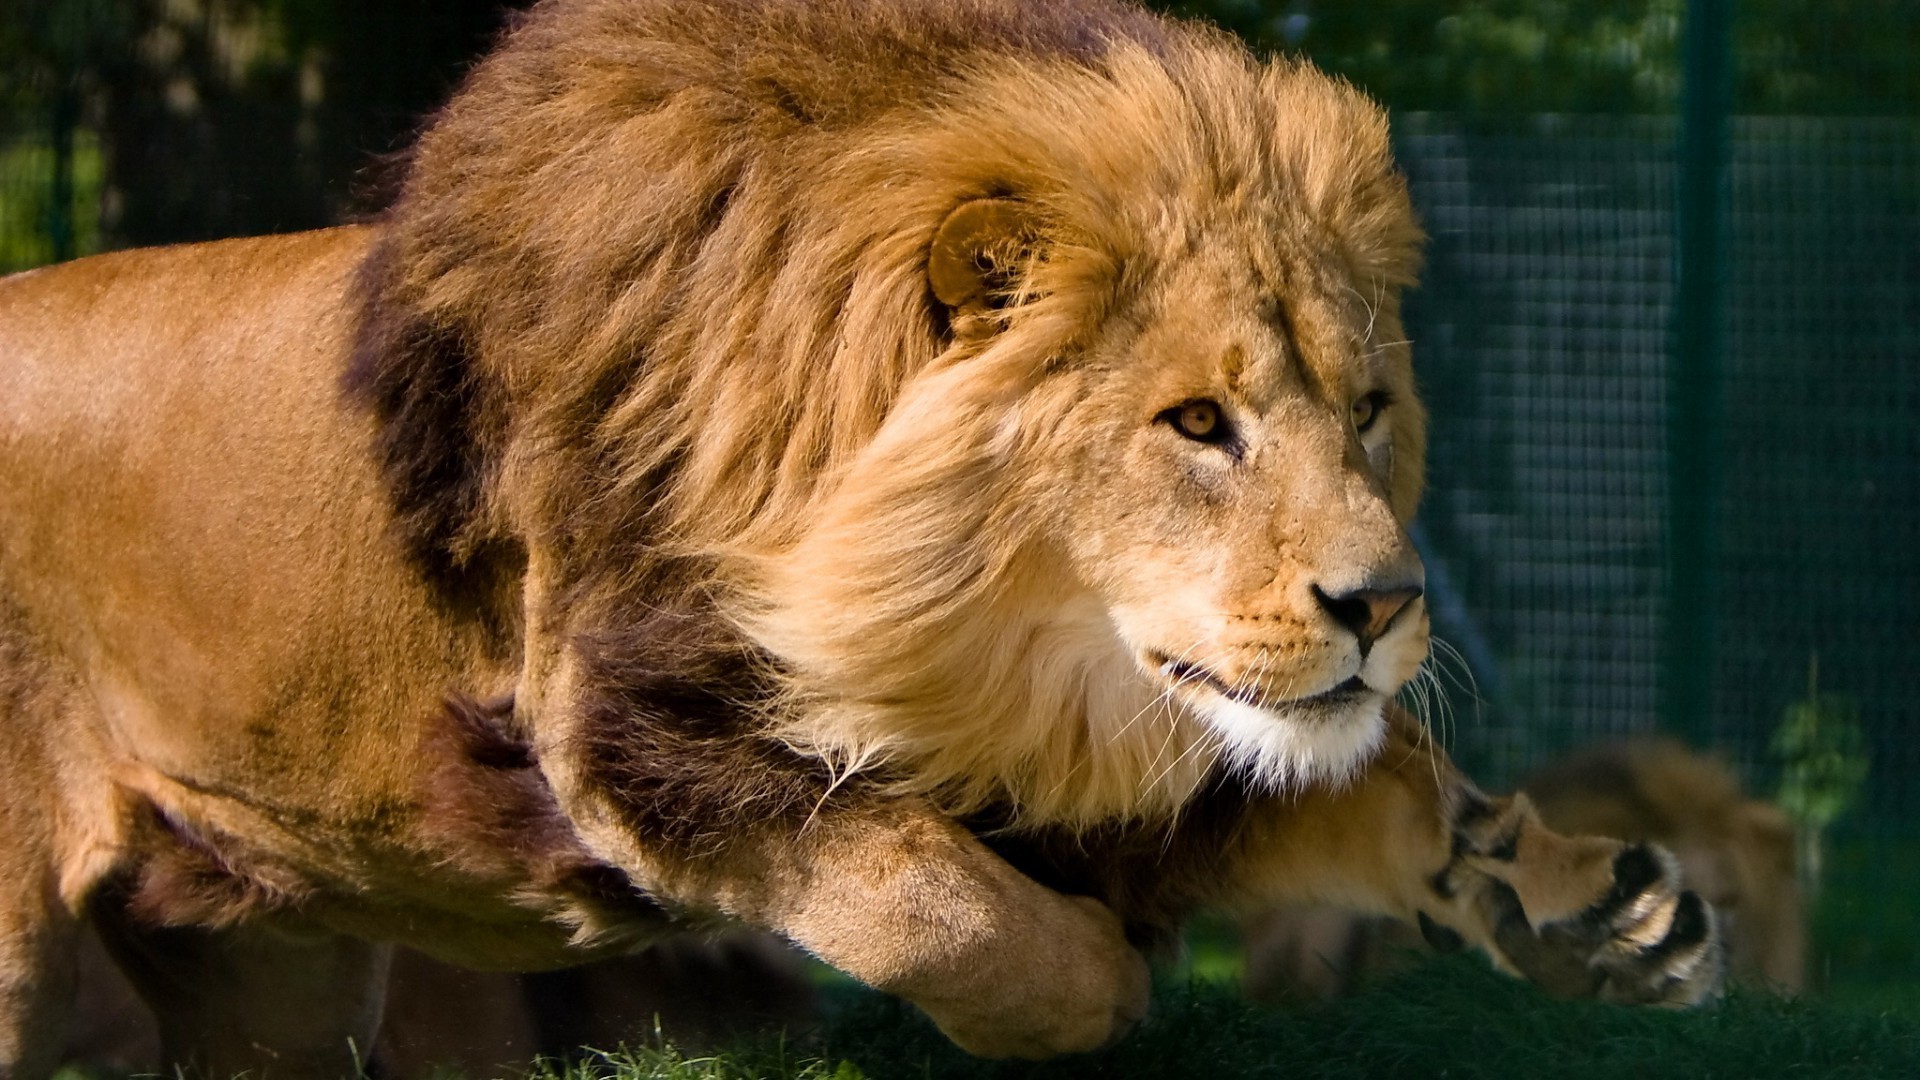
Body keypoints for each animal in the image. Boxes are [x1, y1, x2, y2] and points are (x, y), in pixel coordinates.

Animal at [0, 0, 1728, 1068]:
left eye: (1368, 410)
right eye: (1196, 425)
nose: (1387, 602)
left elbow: (1396, 788)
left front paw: (1608, 914)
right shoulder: (621, 723)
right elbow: (933, 900)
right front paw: (1101, 978)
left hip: (269, 977)